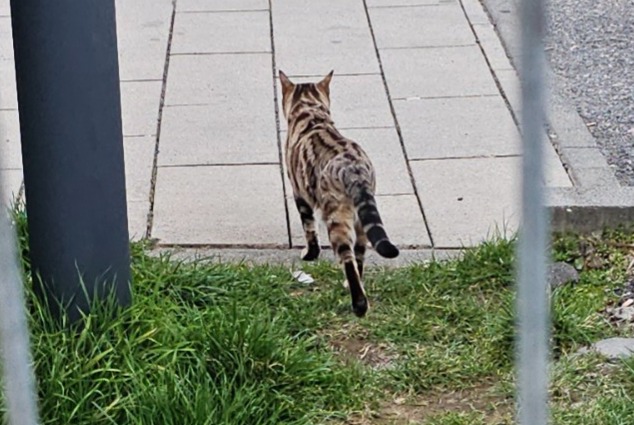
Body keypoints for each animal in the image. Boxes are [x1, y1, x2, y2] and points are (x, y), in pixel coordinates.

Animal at [278, 68, 398, 314]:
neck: (312, 114)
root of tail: (354, 169)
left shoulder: (299, 193)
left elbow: (309, 229)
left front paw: (310, 255)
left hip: (336, 217)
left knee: (348, 258)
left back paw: (359, 304)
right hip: (361, 220)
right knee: (359, 254)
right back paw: (352, 287)